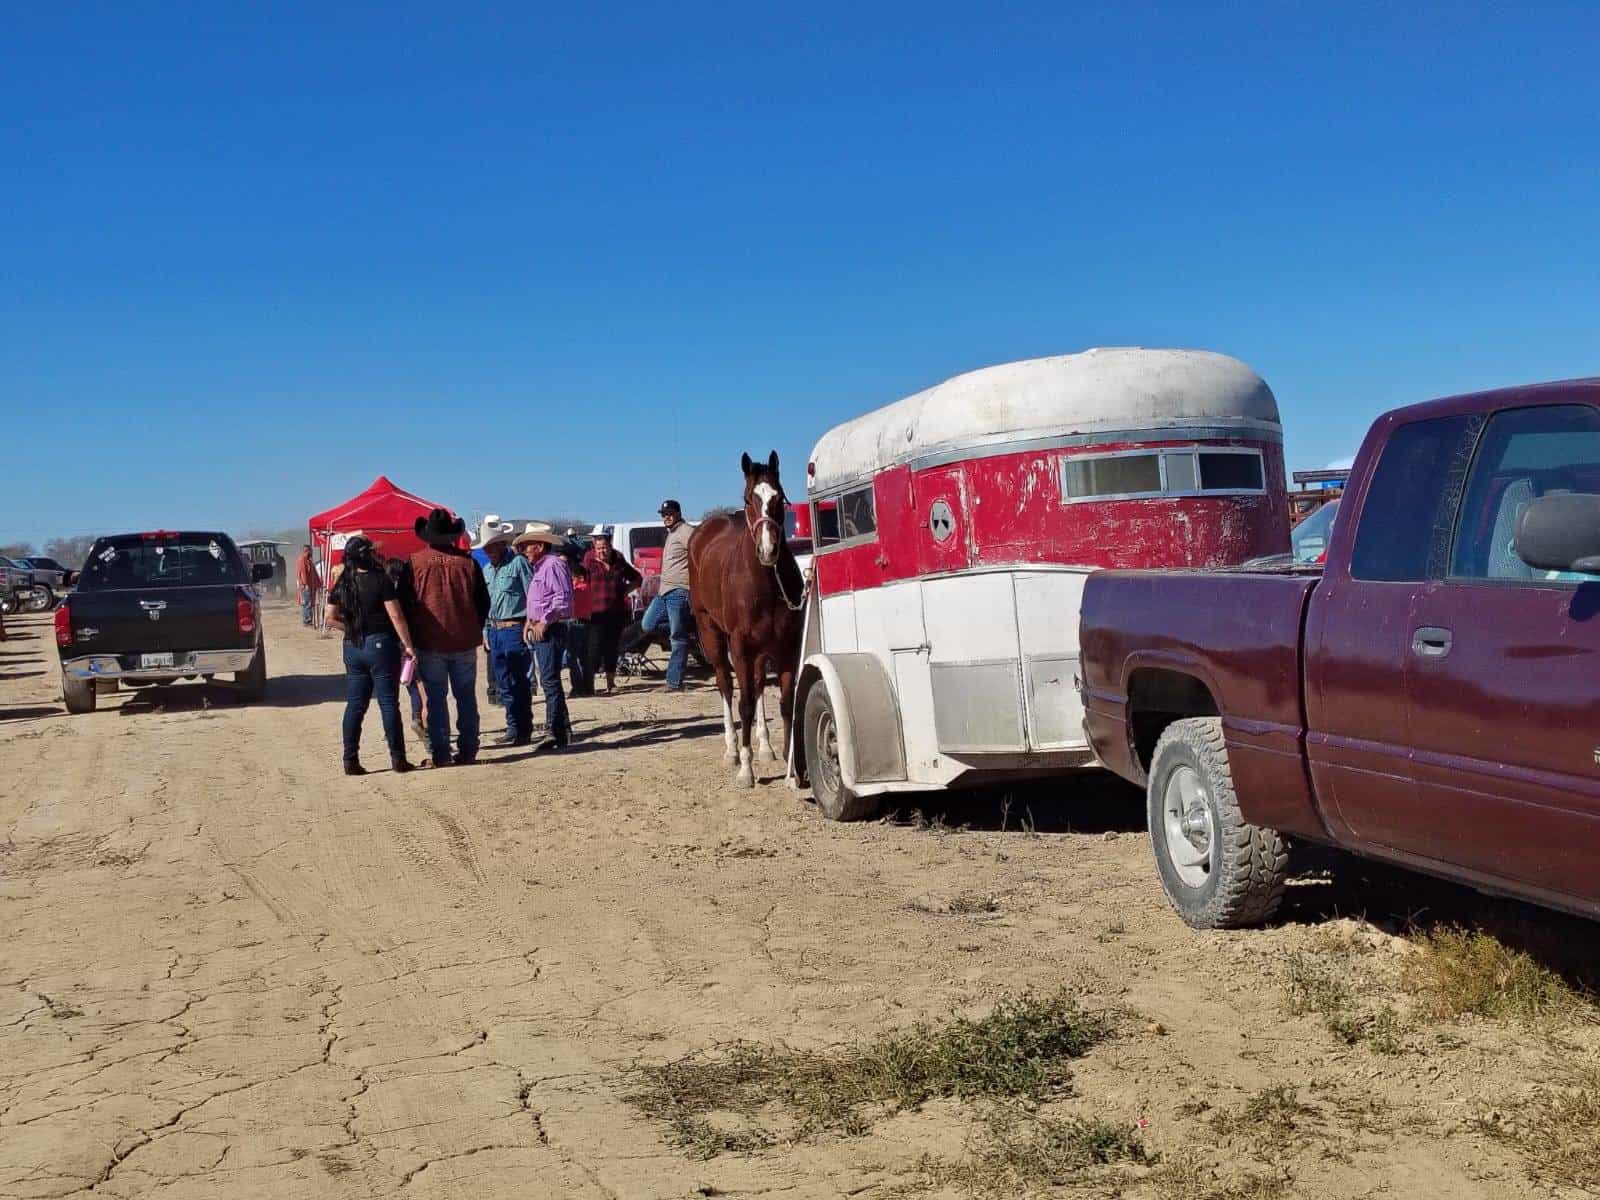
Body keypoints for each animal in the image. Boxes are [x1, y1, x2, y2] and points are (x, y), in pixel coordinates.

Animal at [691, 451, 812, 790]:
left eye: (779, 497)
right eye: (748, 499)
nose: (768, 550)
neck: (766, 584)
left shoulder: (786, 647)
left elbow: (785, 700)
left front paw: (790, 768)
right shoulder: (741, 647)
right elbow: (743, 704)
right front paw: (746, 768)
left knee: (757, 685)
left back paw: (766, 746)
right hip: (712, 634)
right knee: (725, 684)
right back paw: (732, 750)